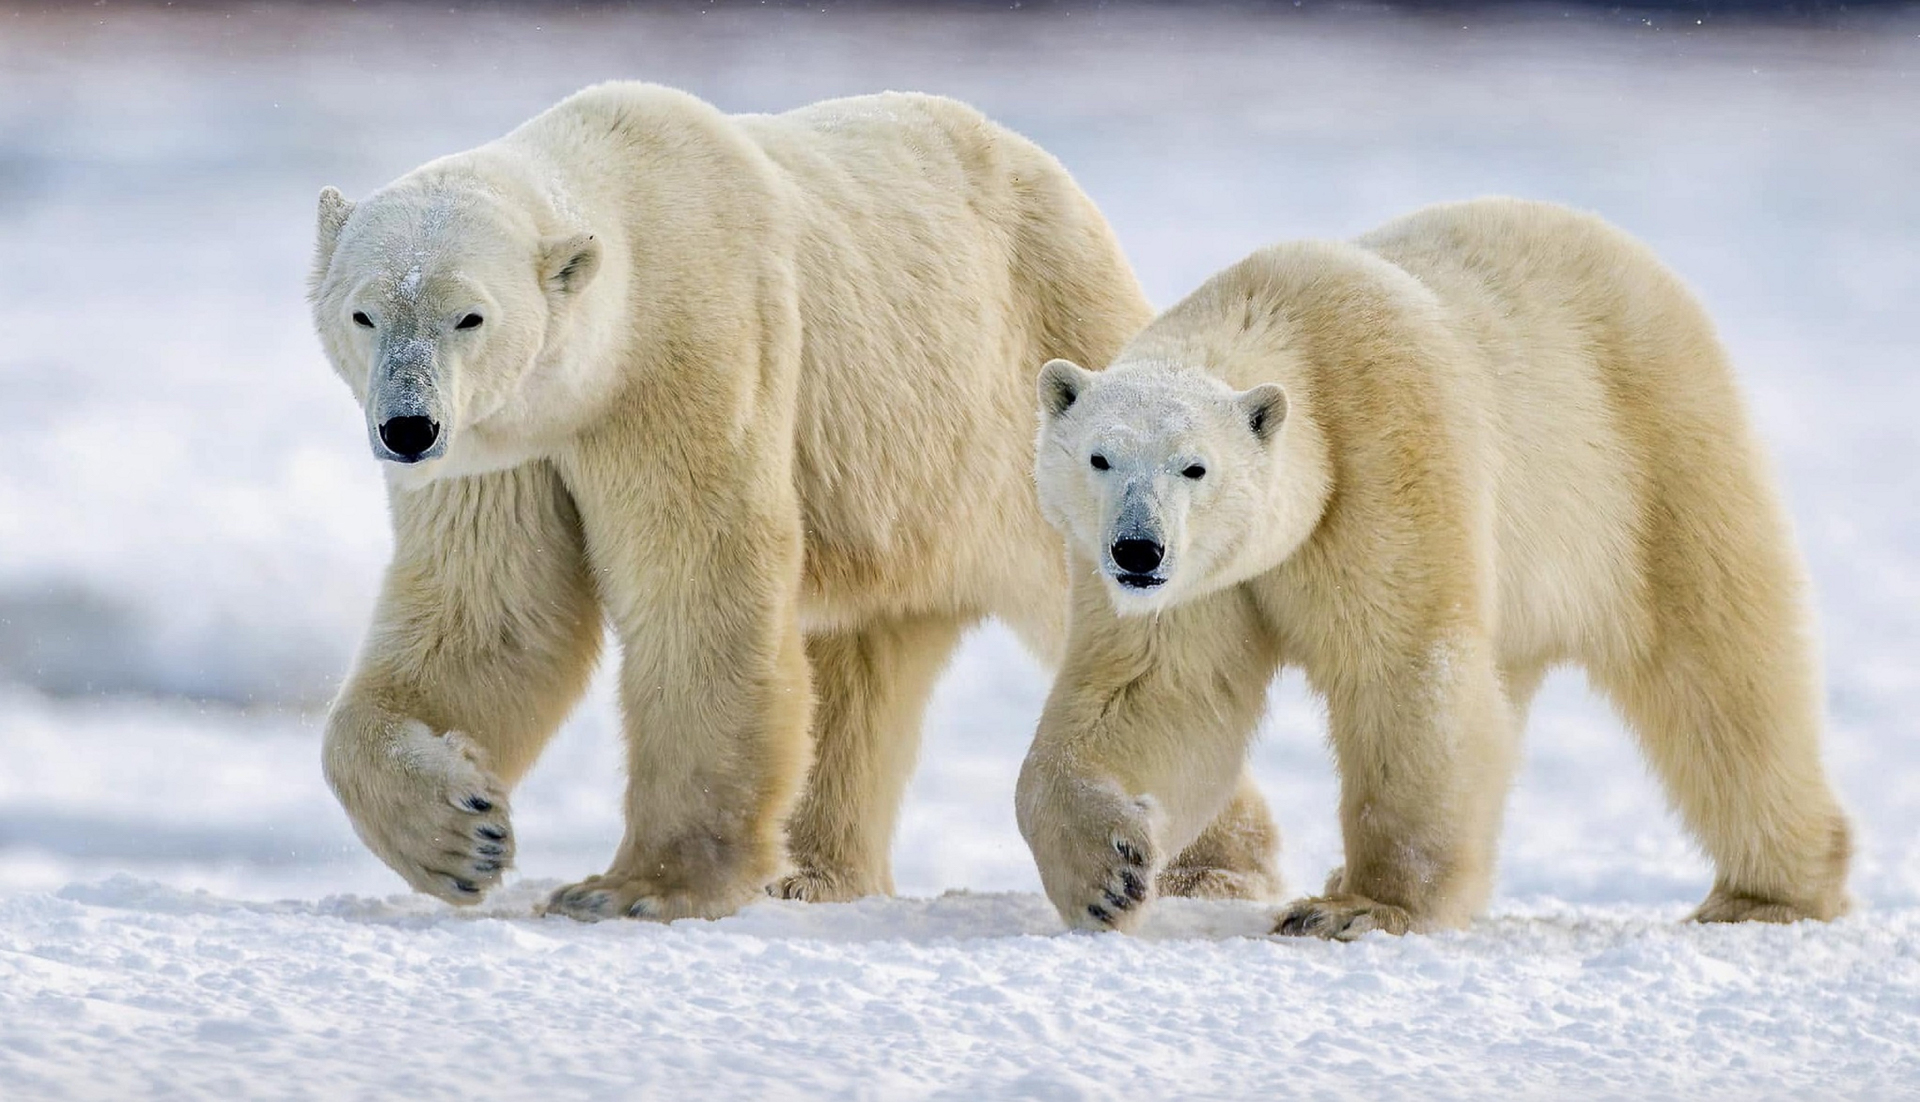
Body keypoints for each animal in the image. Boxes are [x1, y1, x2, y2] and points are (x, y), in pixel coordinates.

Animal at [307, 82, 1283, 922]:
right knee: (860, 664)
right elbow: (492, 616)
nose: (407, 427)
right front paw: (459, 833)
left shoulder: (695, 354)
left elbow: (701, 585)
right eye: (365, 313)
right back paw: (814, 873)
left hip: (1035, 393)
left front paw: (635, 888)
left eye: (469, 316)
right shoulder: (505, 446)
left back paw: (1191, 866)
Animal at [1019, 196, 1853, 938]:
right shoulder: (1209, 582)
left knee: (1721, 669)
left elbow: (1406, 669)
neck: (1286, 319)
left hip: (1651, 461)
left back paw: (1769, 894)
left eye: (1195, 467)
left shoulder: (1389, 451)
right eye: (1099, 457)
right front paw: (1107, 875)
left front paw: (1360, 907)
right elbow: (1156, 689)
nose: (1138, 550)